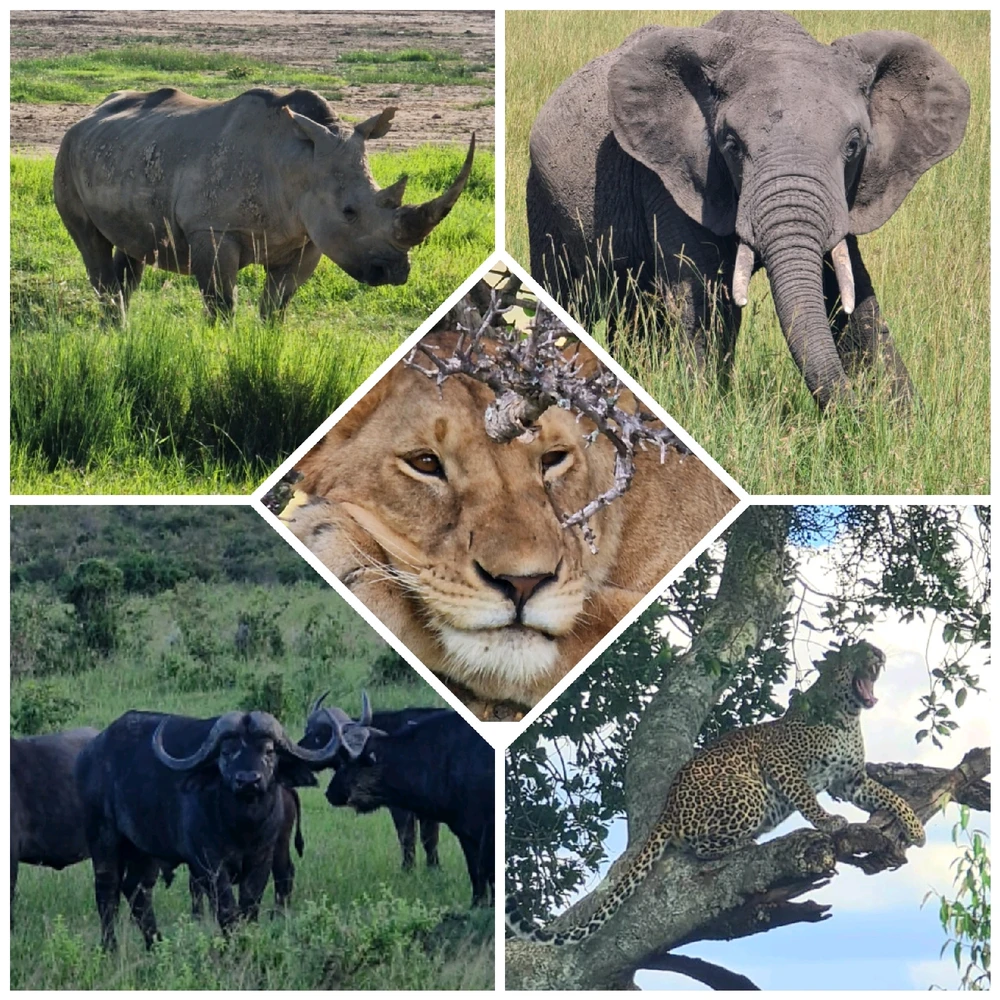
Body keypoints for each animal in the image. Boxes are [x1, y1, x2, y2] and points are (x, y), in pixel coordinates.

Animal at [54, 87, 475, 318]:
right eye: (349, 213)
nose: (396, 272)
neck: (297, 161)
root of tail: (90, 111)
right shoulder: (213, 229)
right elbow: (221, 304)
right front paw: (220, 351)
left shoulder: (307, 238)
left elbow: (276, 305)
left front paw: (265, 347)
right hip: (67, 152)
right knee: (92, 246)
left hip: (125, 150)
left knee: (132, 251)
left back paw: (121, 335)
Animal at [75, 707, 353, 949]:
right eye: (227, 751)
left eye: (269, 749)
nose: (248, 780)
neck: (242, 826)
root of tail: (90, 754)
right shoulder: (209, 864)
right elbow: (227, 910)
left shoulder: (262, 858)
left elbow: (249, 907)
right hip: (104, 840)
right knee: (107, 892)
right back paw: (110, 947)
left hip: (143, 850)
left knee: (137, 890)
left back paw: (156, 944)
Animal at [301, 695, 442, 870]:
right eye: (307, 730)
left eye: (317, 734)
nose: (298, 749)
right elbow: (429, 840)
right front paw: (434, 868)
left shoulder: (401, 809)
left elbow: (408, 838)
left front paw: (407, 868)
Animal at [526, 11, 970, 410]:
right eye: (731, 144)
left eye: (854, 145)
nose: (856, 410)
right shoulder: (671, 178)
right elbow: (705, 296)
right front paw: (705, 412)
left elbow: (851, 293)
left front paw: (902, 423)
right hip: (542, 197)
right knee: (568, 292)